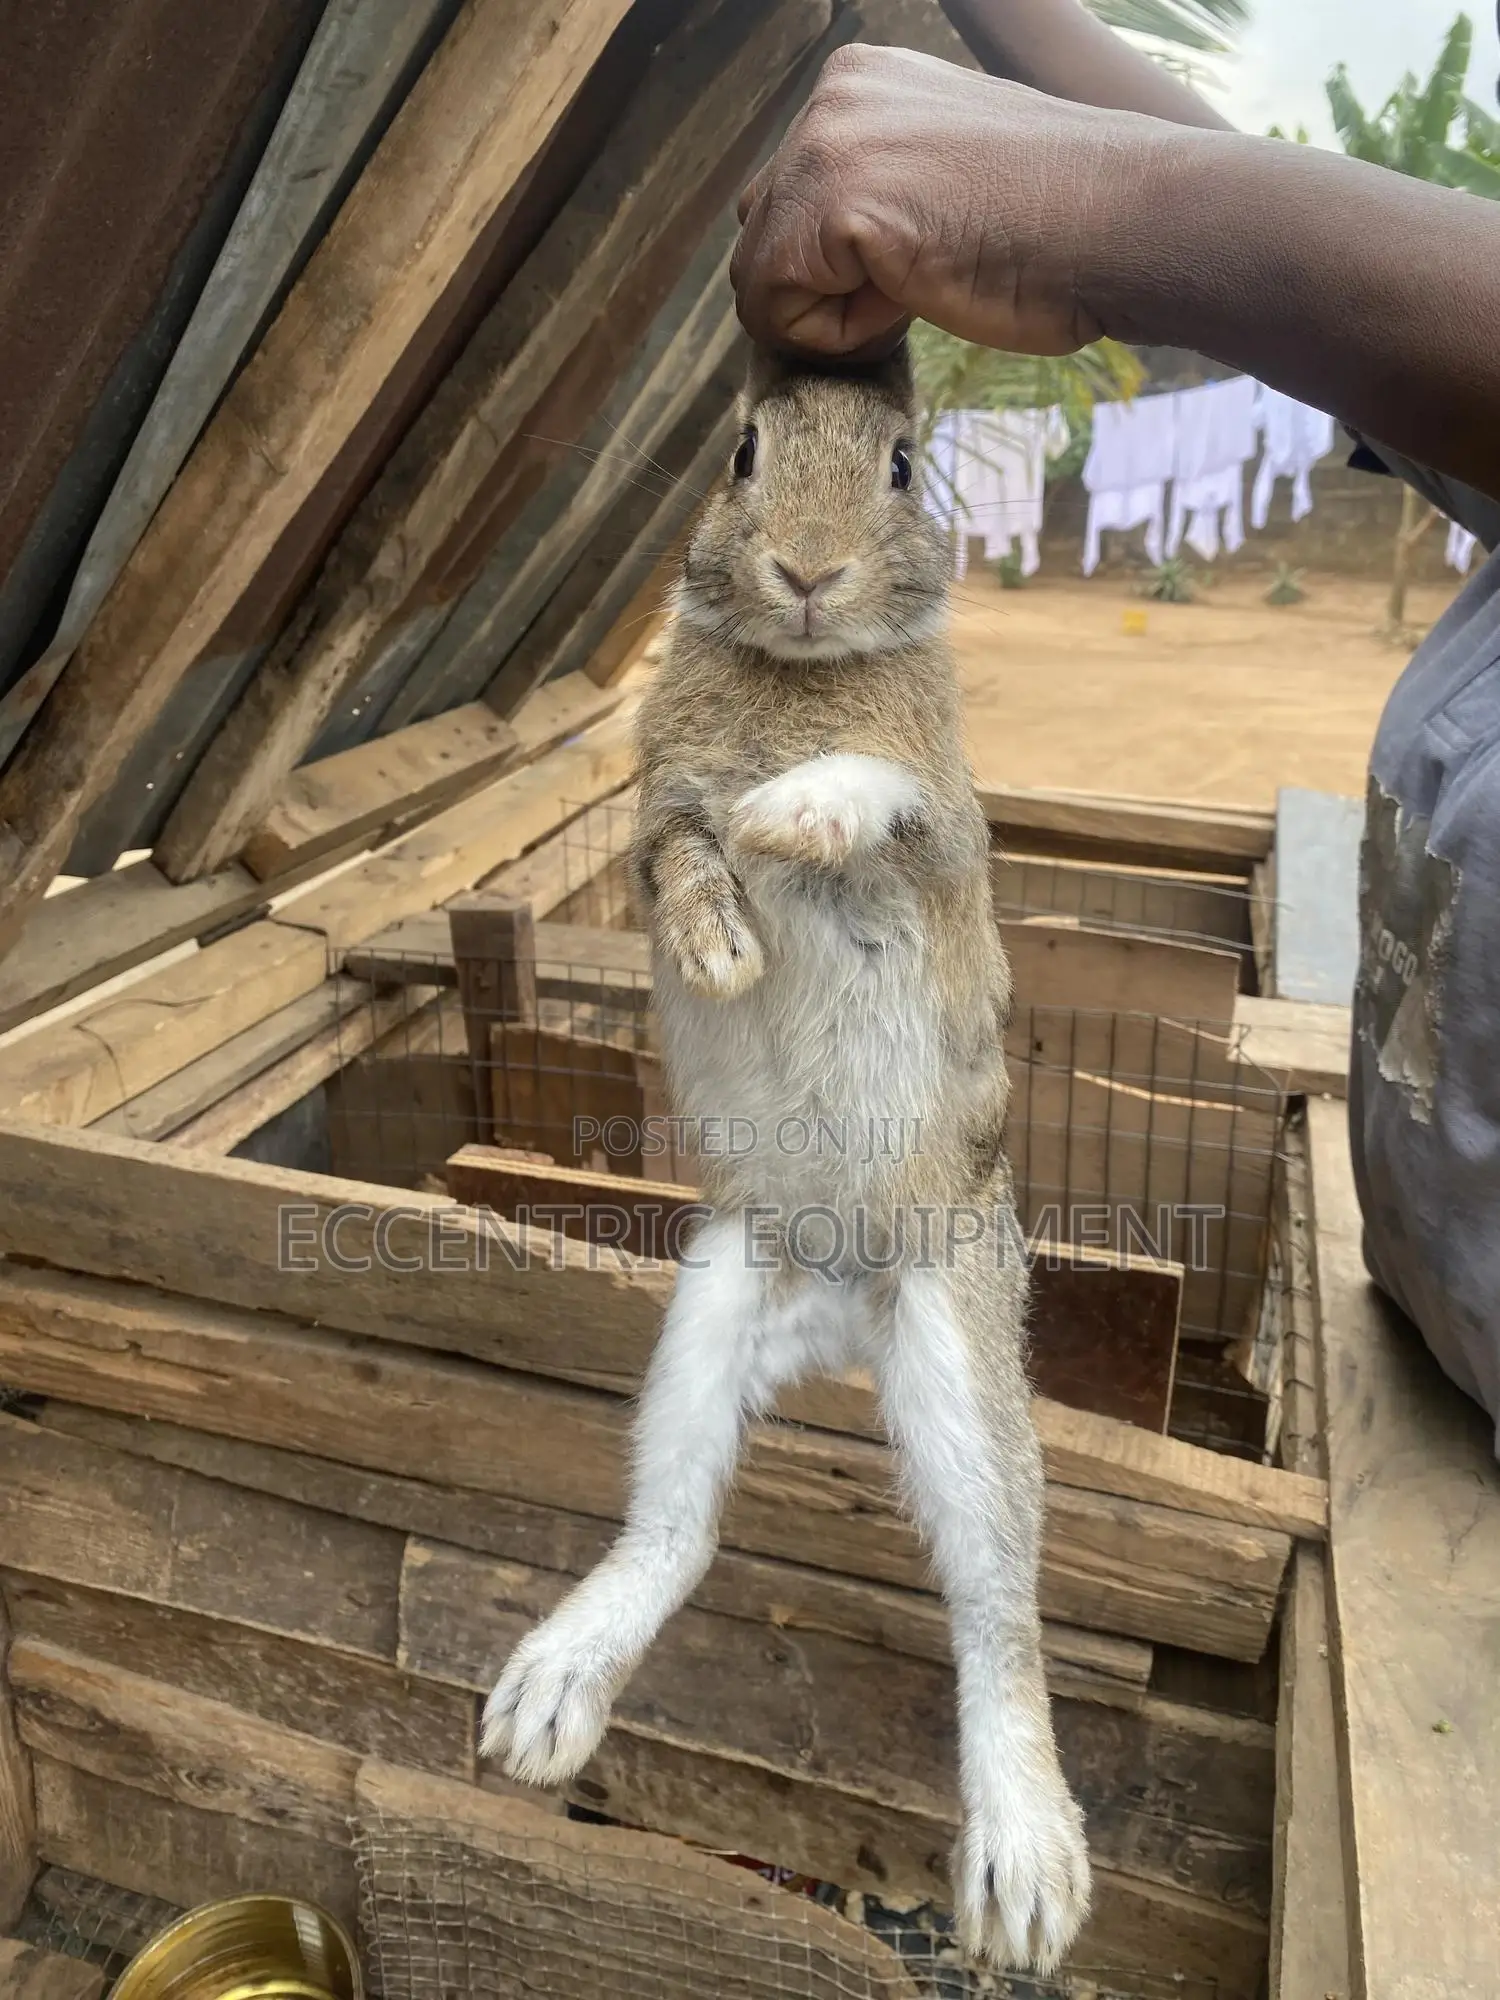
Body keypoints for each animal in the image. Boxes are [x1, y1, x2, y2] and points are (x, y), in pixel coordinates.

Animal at [480, 342, 1091, 1974]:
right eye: (742, 451)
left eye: (904, 465)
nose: (808, 571)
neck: (802, 674)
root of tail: (839, 1312)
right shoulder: (651, 817)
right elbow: (680, 851)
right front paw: (720, 942)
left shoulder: (942, 834)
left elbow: (878, 798)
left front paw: (792, 812)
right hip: (710, 1299)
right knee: (677, 1525)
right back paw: (543, 1705)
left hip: (956, 1332)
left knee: (997, 1607)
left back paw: (1025, 1873)